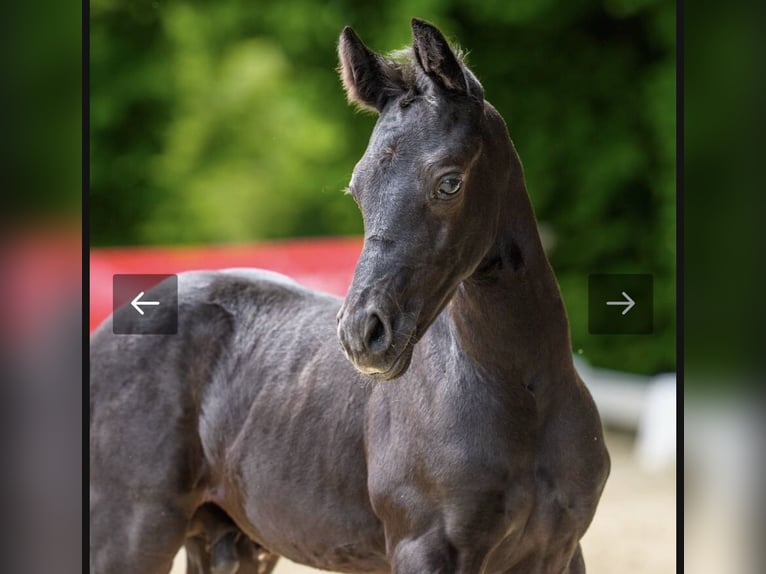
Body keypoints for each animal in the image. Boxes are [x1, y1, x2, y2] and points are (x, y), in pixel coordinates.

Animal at [90, 18, 609, 574]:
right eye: (359, 189)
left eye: (449, 182)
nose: (363, 333)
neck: (523, 395)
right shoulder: (425, 548)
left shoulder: (560, 550)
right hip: (131, 534)